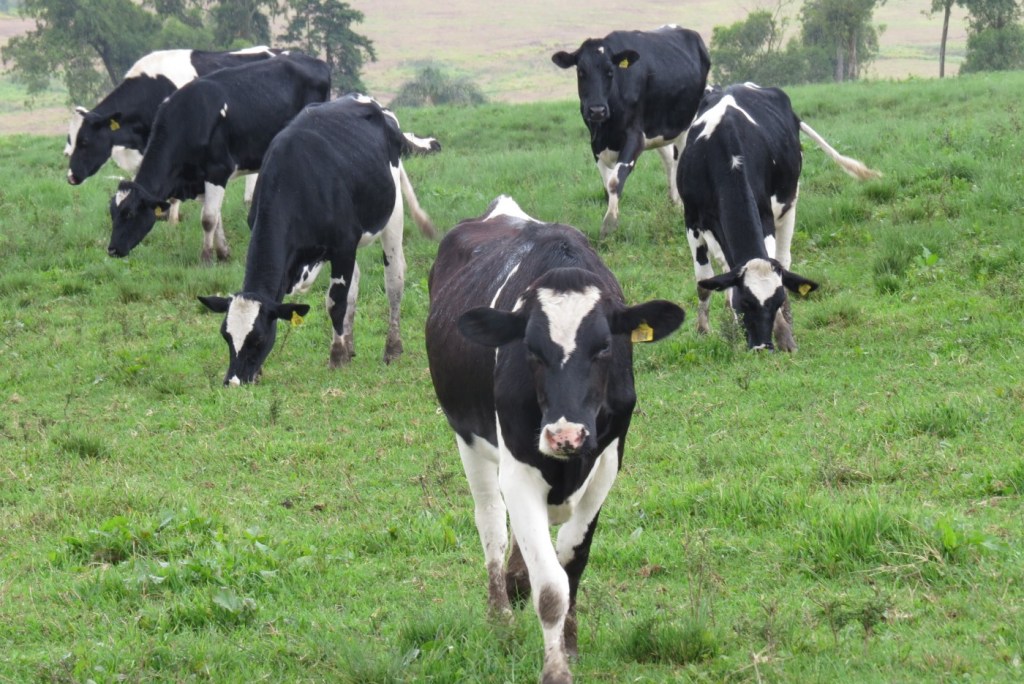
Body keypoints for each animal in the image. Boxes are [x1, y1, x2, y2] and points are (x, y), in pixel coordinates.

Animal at [106, 52, 327, 262]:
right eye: (113, 213)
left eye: (129, 213)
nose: (112, 249)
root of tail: (315, 61)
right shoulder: (199, 178)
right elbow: (216, 216)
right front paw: (223, 253)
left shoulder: (218, 170)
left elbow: (208, 218)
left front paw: (206, 258)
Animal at [198, 94, 436, 387]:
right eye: (226, 336)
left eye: (259, 339)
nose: (232, 382)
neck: (293, 183)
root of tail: (367, 101)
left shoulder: (343, 245)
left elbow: (335, 303)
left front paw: (337, 357)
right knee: (355, 285)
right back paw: (351, 344)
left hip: (393, 215)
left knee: (394, 281)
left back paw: (392, 348)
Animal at [552, 25, 712, 239]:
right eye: (581, 72)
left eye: (610, 72)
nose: (596, 110)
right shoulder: (596, 143)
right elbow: (606, 185)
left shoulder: (634, 137)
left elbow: (615, 181)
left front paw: (609, 224)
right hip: (659, 129)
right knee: (669, 160)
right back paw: (673, 203)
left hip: (686, 124)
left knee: (679, 161)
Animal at [679, 83, 880, 352]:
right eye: (744, 303)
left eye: (777, 301)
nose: (763, 346)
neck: (726, 154)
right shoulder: (691, 218)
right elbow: (703, 282)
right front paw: (703, 331)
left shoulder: (766, 216)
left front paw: (784, 332)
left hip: (790, 204)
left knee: (784, 259)